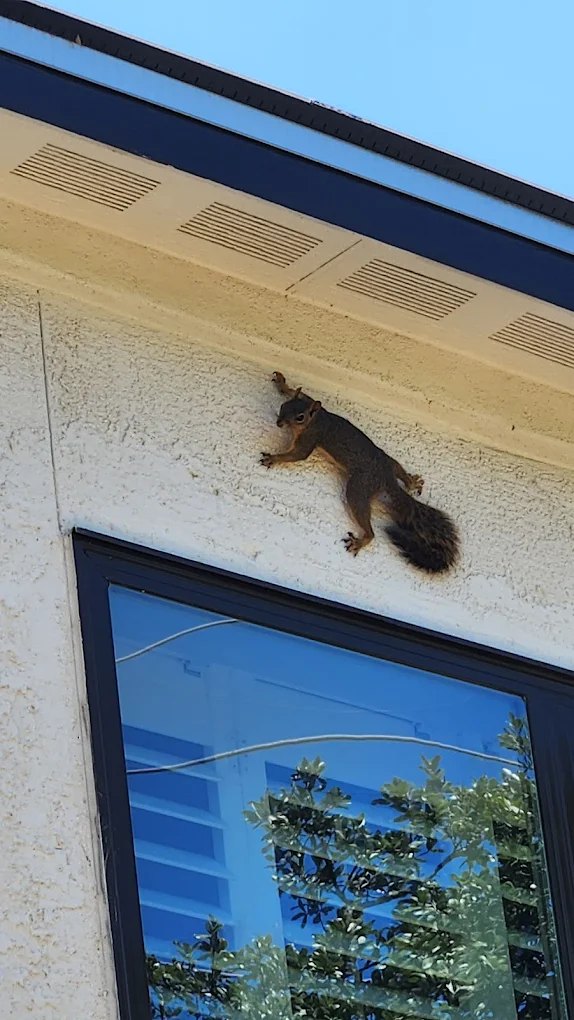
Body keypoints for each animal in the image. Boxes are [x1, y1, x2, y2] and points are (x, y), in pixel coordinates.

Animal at [260, 371, 459, 573]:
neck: (315, 419)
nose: (279, 423)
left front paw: (274, 458)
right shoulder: (310, 402)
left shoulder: (311, 437)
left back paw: (361, 541)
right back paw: (411, 482)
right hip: (388, 461)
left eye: (300, 417)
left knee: (367, 523)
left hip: (358, 489)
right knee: (398, 470)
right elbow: (297, 392)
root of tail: (386, 480)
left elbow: (298, 455)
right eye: (284, 406)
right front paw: (283, 384)